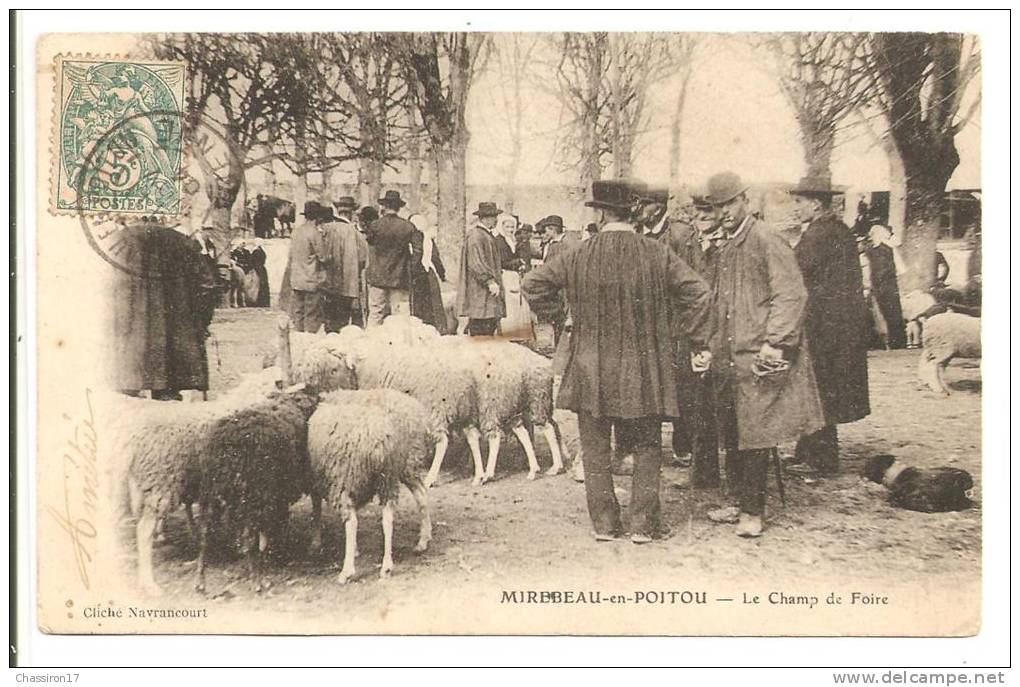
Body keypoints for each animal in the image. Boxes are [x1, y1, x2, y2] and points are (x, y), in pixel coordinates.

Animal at [308, 387, 432, 578]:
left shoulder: (319, 477)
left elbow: (316, 508)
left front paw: (316, 542)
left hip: (349, 476)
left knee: (352, 521)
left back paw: (347, 571)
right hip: (392, 474)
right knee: (407, 505)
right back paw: (408, 551)